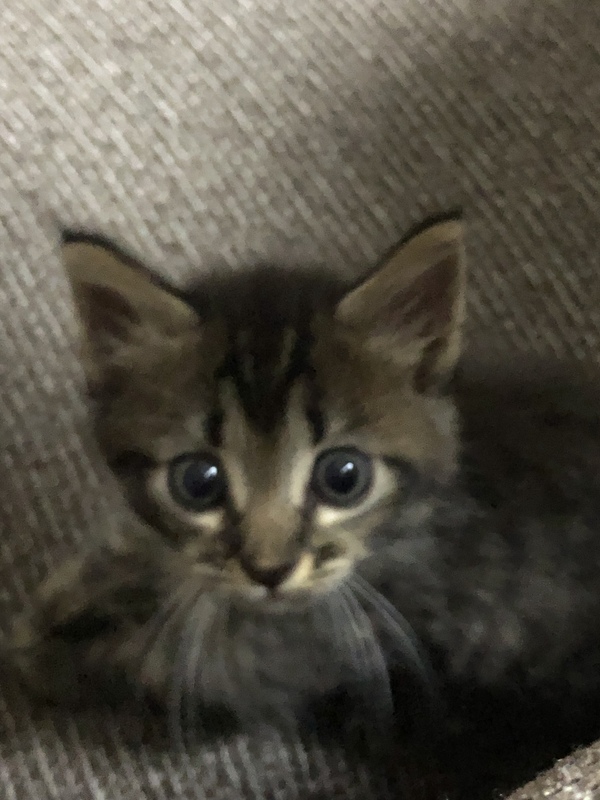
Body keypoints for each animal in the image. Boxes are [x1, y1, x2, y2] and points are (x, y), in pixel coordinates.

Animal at [8, 214, 600, 758]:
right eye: (198, 482)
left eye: (344, 478)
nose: (269, 570)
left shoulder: (295, 661)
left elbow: (151, 662)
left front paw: (47, 648)